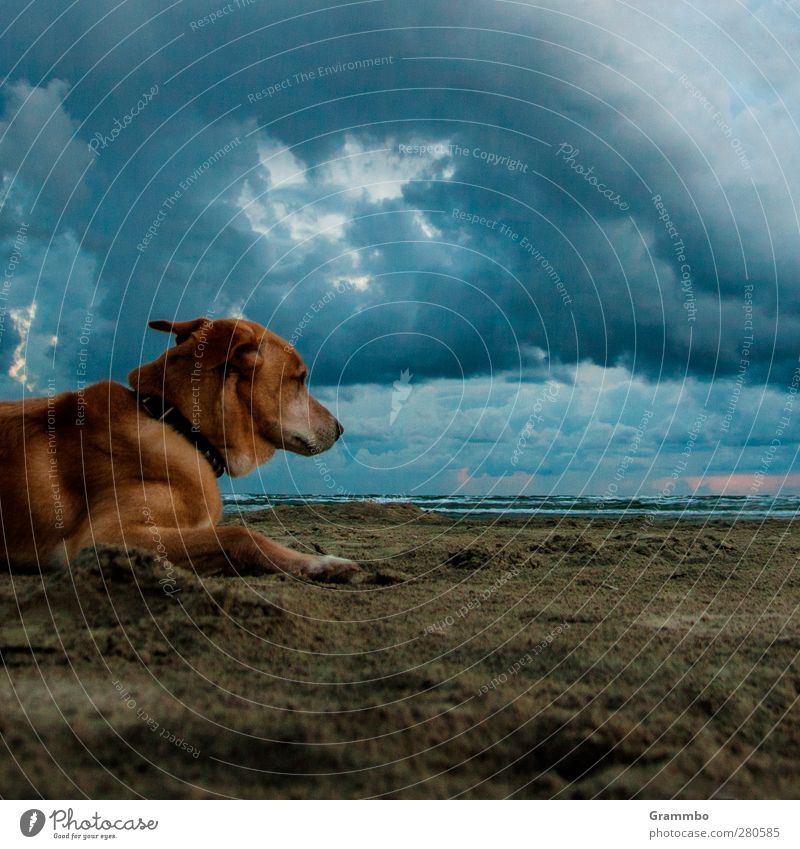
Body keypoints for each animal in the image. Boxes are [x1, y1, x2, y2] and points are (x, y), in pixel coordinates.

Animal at [0, 314, 360, 580]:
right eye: (299, 379)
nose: (341, 429)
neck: (178, 425)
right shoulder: (103, 535)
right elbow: (240, 534)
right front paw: (320, 562)